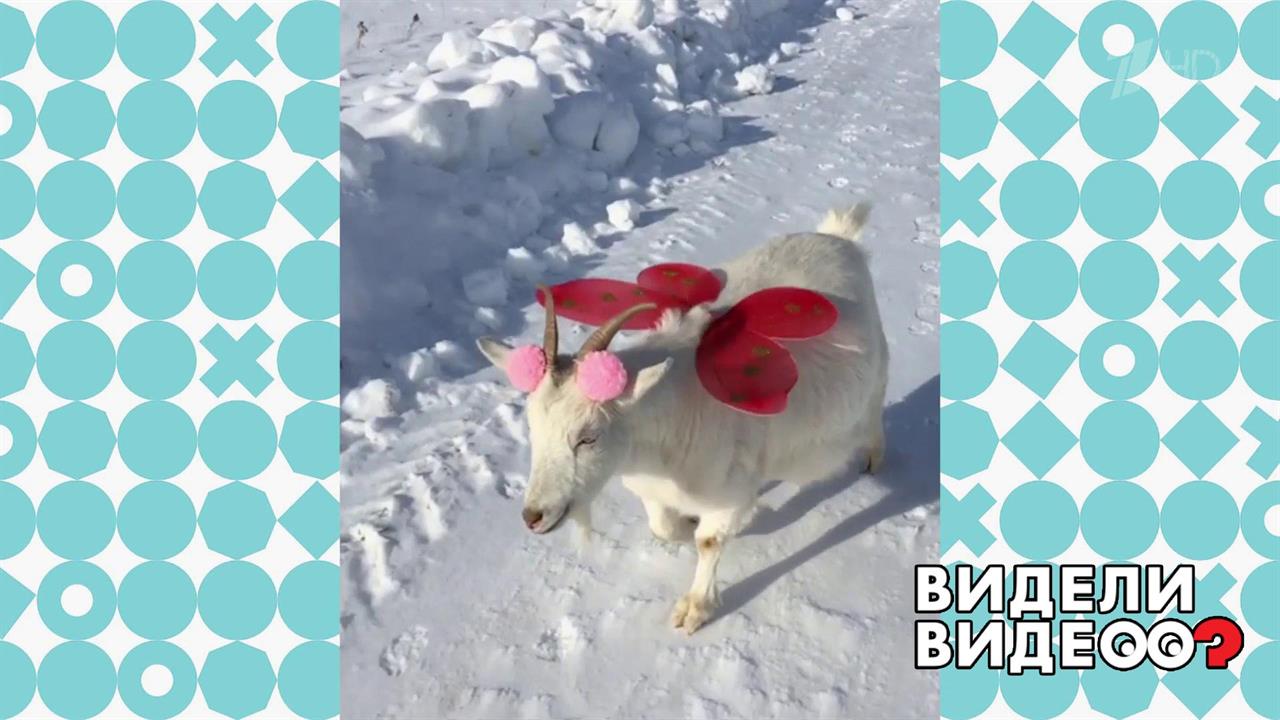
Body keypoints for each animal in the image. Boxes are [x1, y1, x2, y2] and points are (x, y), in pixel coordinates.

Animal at [477, 203, 888, 633]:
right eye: (533, 429)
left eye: (588, 437)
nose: (533, 516)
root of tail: (838, 236)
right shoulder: (651, 488)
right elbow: (664, 528)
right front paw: (692, 527)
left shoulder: (726, 491)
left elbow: (709, 541)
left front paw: (695, 608)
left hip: (876, 367)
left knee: (875, 406)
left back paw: (874, 458)